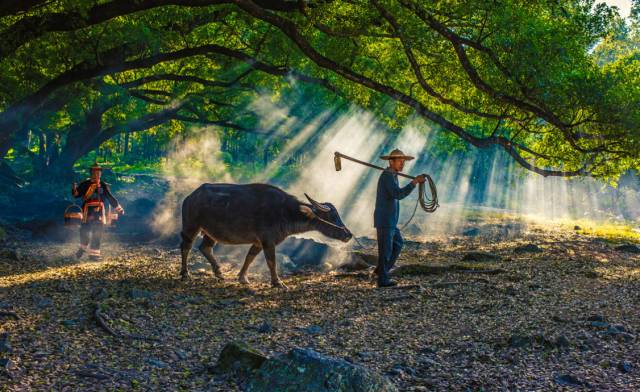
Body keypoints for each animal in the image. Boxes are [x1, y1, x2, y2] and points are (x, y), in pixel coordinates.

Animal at [178, 184, 352, 288]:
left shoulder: (258, 242)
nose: (348, 234)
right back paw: (185, 274)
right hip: (191, 226)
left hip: (211, 232)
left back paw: (219, 273)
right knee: (186, 247)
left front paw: (242, 277)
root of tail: (189, 197)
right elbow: (271, 261)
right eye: (332, 216)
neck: (286, 212)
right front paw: (277, 282)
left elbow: (250, 257)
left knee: (205, 247)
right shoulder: (268, 241)